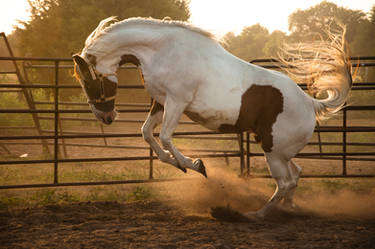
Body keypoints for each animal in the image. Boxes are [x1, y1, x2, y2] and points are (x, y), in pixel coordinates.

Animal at [72, 17, 352, 219]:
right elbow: (148, 134)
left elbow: (165, 137)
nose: (105, 117)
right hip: (278, 151)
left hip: (274, 153)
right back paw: (289, 209)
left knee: (284, 183)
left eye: (90, 82)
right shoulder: (161, 102)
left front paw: (196, 165)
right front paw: (180, 164)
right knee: (296, 175)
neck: (161, 50)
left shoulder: (177, 102)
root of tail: (310, 103)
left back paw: (255, 214)